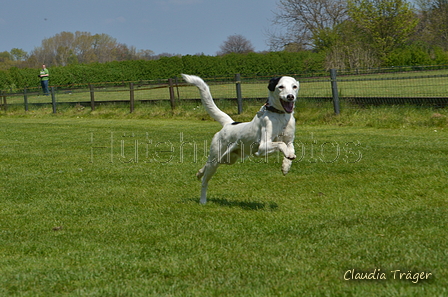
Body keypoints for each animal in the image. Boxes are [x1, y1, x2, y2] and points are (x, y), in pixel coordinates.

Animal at [182, 74, 300, 204]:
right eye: (281, 87)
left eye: (294, 86)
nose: (290, 96)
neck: (280, 116)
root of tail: (229, 123)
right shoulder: (263, 146)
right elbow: (280, 144)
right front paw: (287, 158)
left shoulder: (289, 141)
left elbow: (290, 149)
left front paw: (286, 165)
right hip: (216, 159)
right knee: (205, 181)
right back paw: (202, 200)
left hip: (227, 159)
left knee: (206, 166)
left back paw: (199, 173)